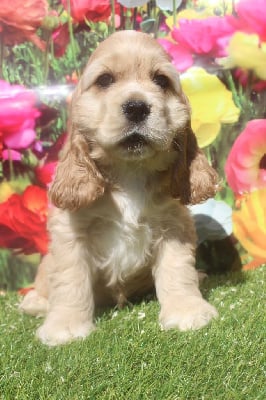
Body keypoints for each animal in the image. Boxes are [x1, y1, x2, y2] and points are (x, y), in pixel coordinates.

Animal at [19, 29, 219, 346]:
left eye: (161, 81)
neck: (130, 171)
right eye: (105, 80)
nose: (137, 107)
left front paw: (188, 311)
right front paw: (66, 327)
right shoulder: (70, 232)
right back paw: (35, 303)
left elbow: (177, 270)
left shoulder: (174, 225)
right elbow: (70, 280)